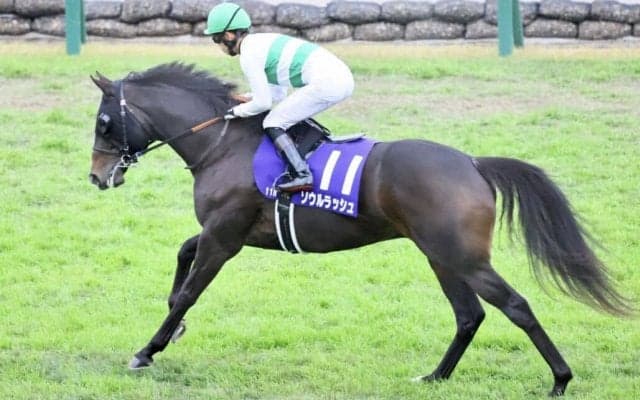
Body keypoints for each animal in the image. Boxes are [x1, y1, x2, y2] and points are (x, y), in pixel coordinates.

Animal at [88, 63, 630, 396]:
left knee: (514, 306)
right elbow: (183, 255)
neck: (224, 144)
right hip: (441, 256)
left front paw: (147, 351)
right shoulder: (229, 233)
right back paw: (435, 376)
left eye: (103, 123)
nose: (97, 176)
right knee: (469, 315)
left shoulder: (225, 237)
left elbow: (188, 292)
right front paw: (173, 330)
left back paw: (560, 380)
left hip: (464, 257)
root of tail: (473, 163)